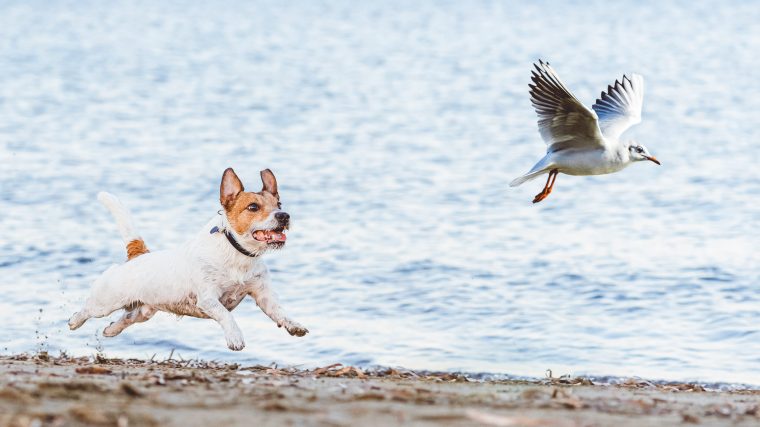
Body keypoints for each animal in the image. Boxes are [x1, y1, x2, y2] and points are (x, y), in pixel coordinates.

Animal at [67, 167, 308, 352]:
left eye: (279, 205)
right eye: (253, 207)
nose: (284, 216)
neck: (238, 253)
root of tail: (138, 254)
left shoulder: (263, 295)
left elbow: (279, 312)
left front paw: (293, 325)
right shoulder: (209, 299)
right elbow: (226, 316)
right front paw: (235, 337)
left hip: (143, 311)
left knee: (126, 318)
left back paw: (110, 330)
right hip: (104, 302)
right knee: (87, 309)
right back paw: (73, 321)